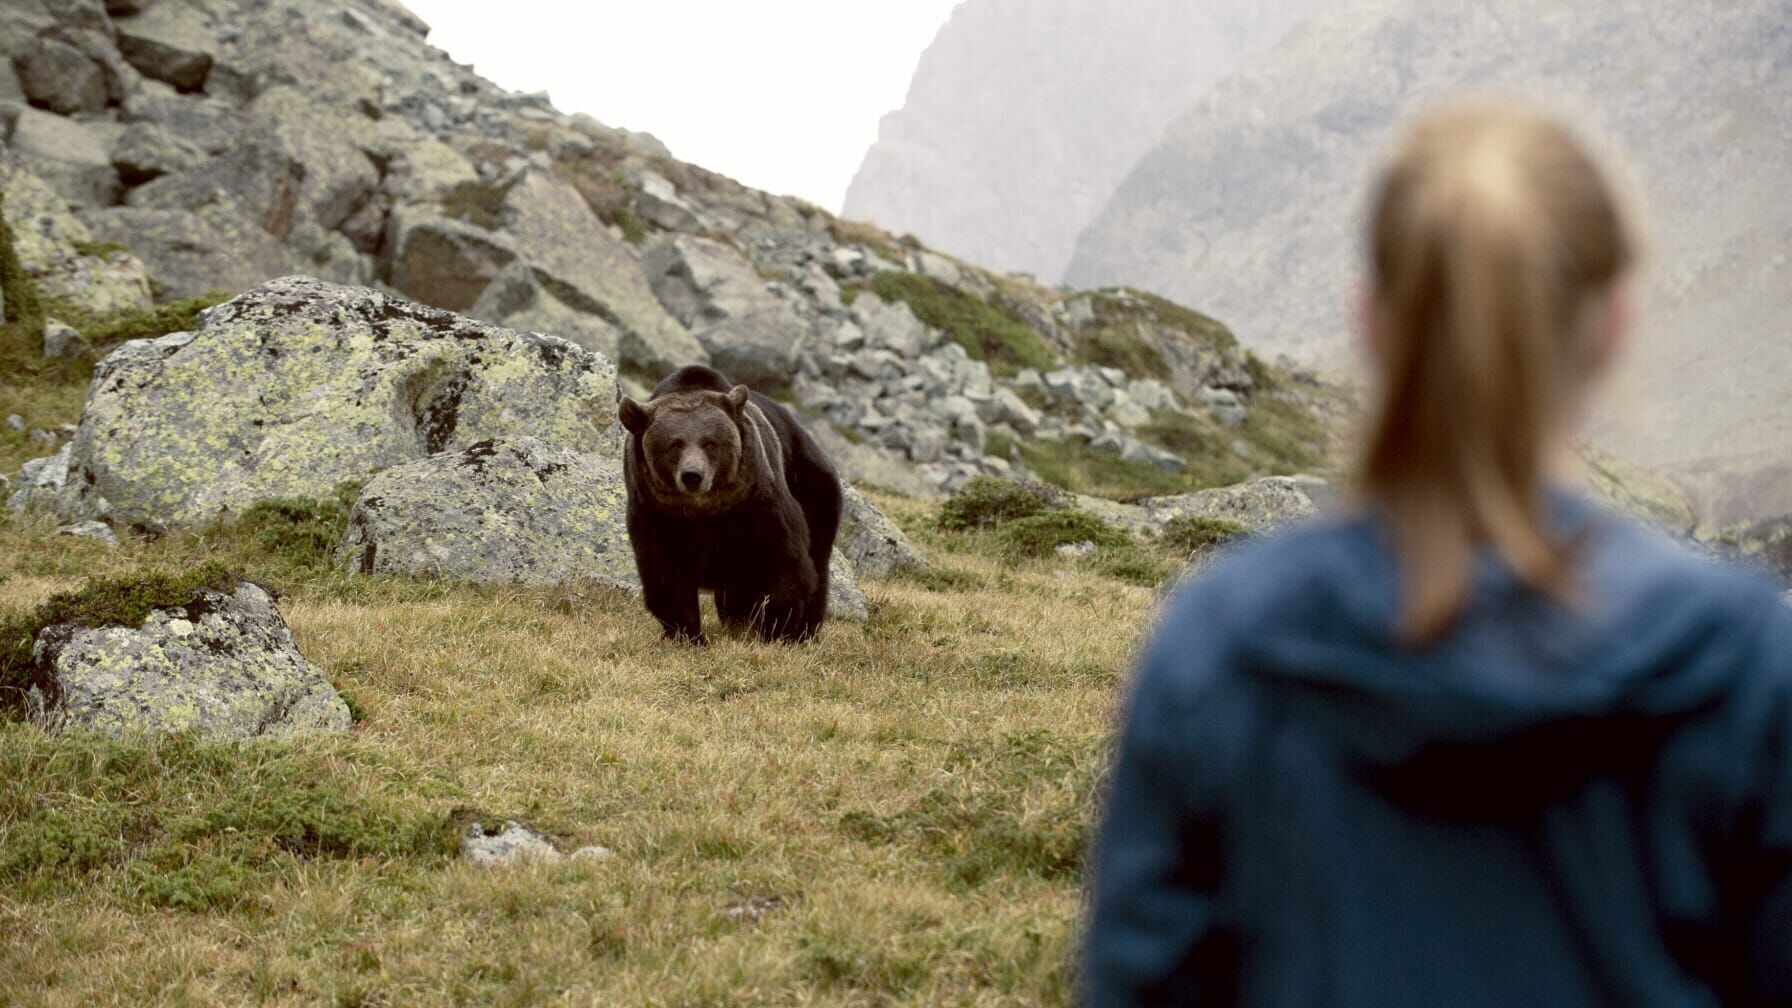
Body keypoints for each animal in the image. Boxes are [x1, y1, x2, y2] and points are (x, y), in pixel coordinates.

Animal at [620, 364, 842, 638]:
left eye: (710, 442)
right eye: (674, 444)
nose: (692, 475)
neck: (705, 511)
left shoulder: (758, 502)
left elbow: (785, 562)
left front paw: (777, 628)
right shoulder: (656, 515)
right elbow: (666, 576)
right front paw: (688, 634)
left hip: (812, 487)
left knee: (817, 562)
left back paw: (803, 631)